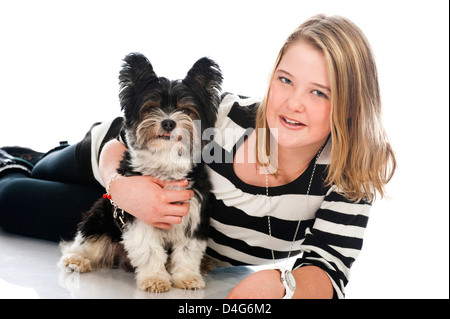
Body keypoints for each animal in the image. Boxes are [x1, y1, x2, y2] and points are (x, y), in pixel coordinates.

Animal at [59, 53, 221, 296]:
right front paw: (155, 278)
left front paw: (186, 277)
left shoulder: (194, 214)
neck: (165, 163)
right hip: (101, 217)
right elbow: (150, 249)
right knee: (84, 243)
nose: (168, 122)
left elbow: (187, 251)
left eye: (186, 110)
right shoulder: (139, 213)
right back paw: (76, 260)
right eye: (151, 107)